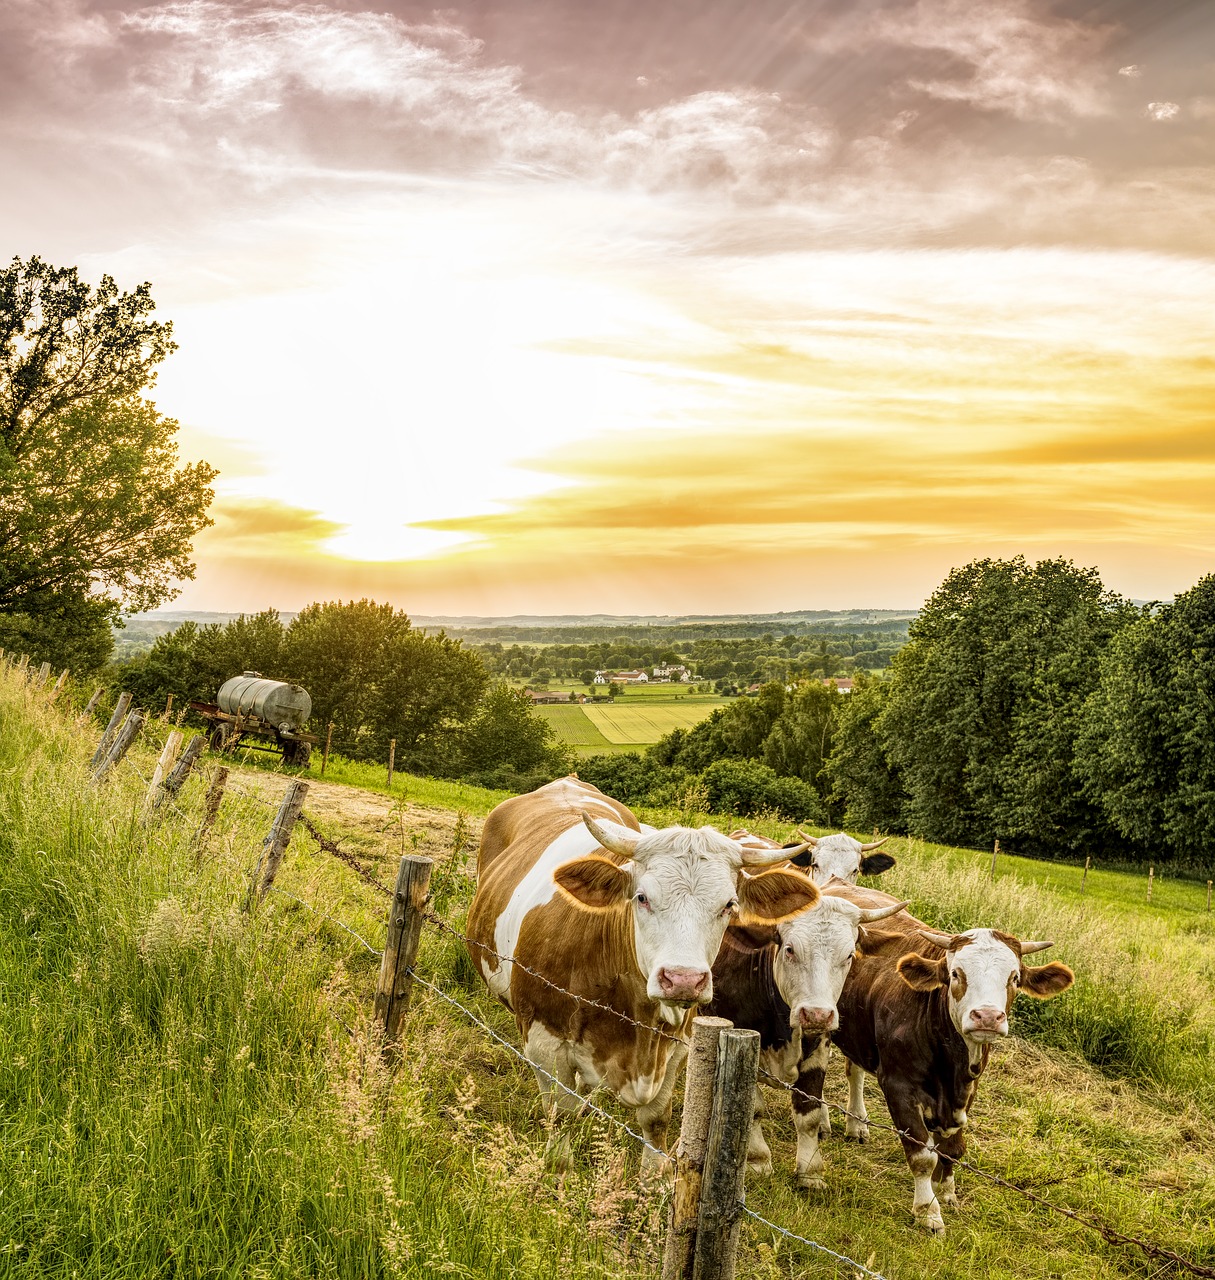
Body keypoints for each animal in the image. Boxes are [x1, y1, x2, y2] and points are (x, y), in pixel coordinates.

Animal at [468, 773, 819, 1167]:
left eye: (729, 904)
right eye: (642, 897)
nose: (683, 979)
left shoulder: (677, 1047)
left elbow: (655, 1119)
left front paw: (653, 1175)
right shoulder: (543, 1042)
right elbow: (560, 1119)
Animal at [701, 885, 911, 1182]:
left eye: (849, 955)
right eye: (790, 949)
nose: (817, 1014)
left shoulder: (818, 1047)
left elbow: (808, 1110)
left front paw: (810, 1171)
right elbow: (752, 1107)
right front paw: (757, 1160)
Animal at [798, 885, 1075, 1233]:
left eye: (1014, 978)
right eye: (956, 974)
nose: (987, 1017)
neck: (950, 1064)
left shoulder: (966, 1091)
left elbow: (953, 1149)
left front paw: (947, 1192)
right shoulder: (898, 1086)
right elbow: (921, 1154)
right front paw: (927, 1210)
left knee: (854, 1071)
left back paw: (856, 1123)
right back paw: (823, 1121)